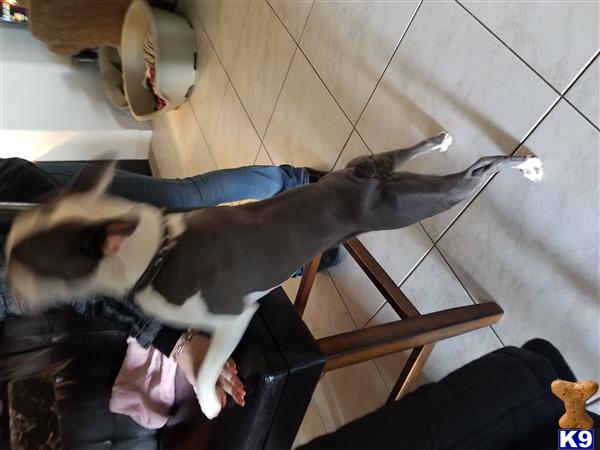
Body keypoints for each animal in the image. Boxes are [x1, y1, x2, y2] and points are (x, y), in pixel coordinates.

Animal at [2, 133, 544, 418]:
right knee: (418, 157)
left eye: (28, 261)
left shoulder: (233, 317)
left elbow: (205, 365)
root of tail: (358, 183)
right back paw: (445, 140)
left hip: (408, 205)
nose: (6, 281)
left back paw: (528, 166)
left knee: (477, 172)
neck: (156, 249)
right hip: (380, 179)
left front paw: (209, 403)